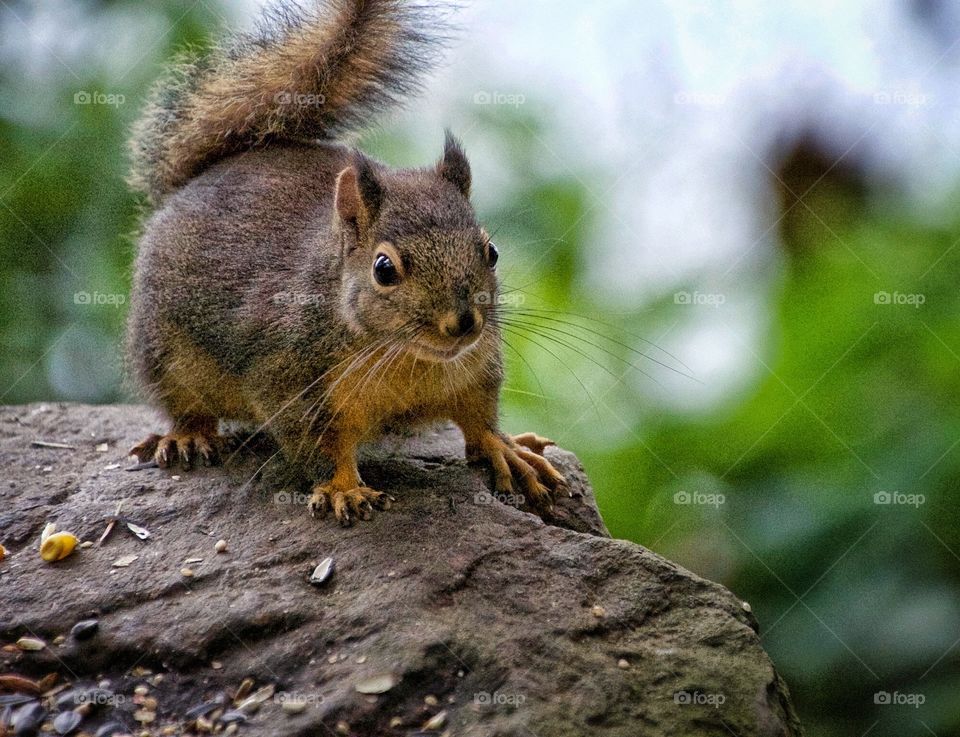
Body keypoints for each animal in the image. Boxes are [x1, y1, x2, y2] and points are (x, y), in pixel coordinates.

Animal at [126, 0, 567, 525]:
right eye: (384, 269)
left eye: (492, 252)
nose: (463, 323)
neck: (402, 355)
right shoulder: (287, 378)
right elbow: (319, 445)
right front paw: (343, 488)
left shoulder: (474, 366)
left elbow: (478, 415)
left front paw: (505, 450)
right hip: (164, 352)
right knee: (184, 403)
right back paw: (187, 436)